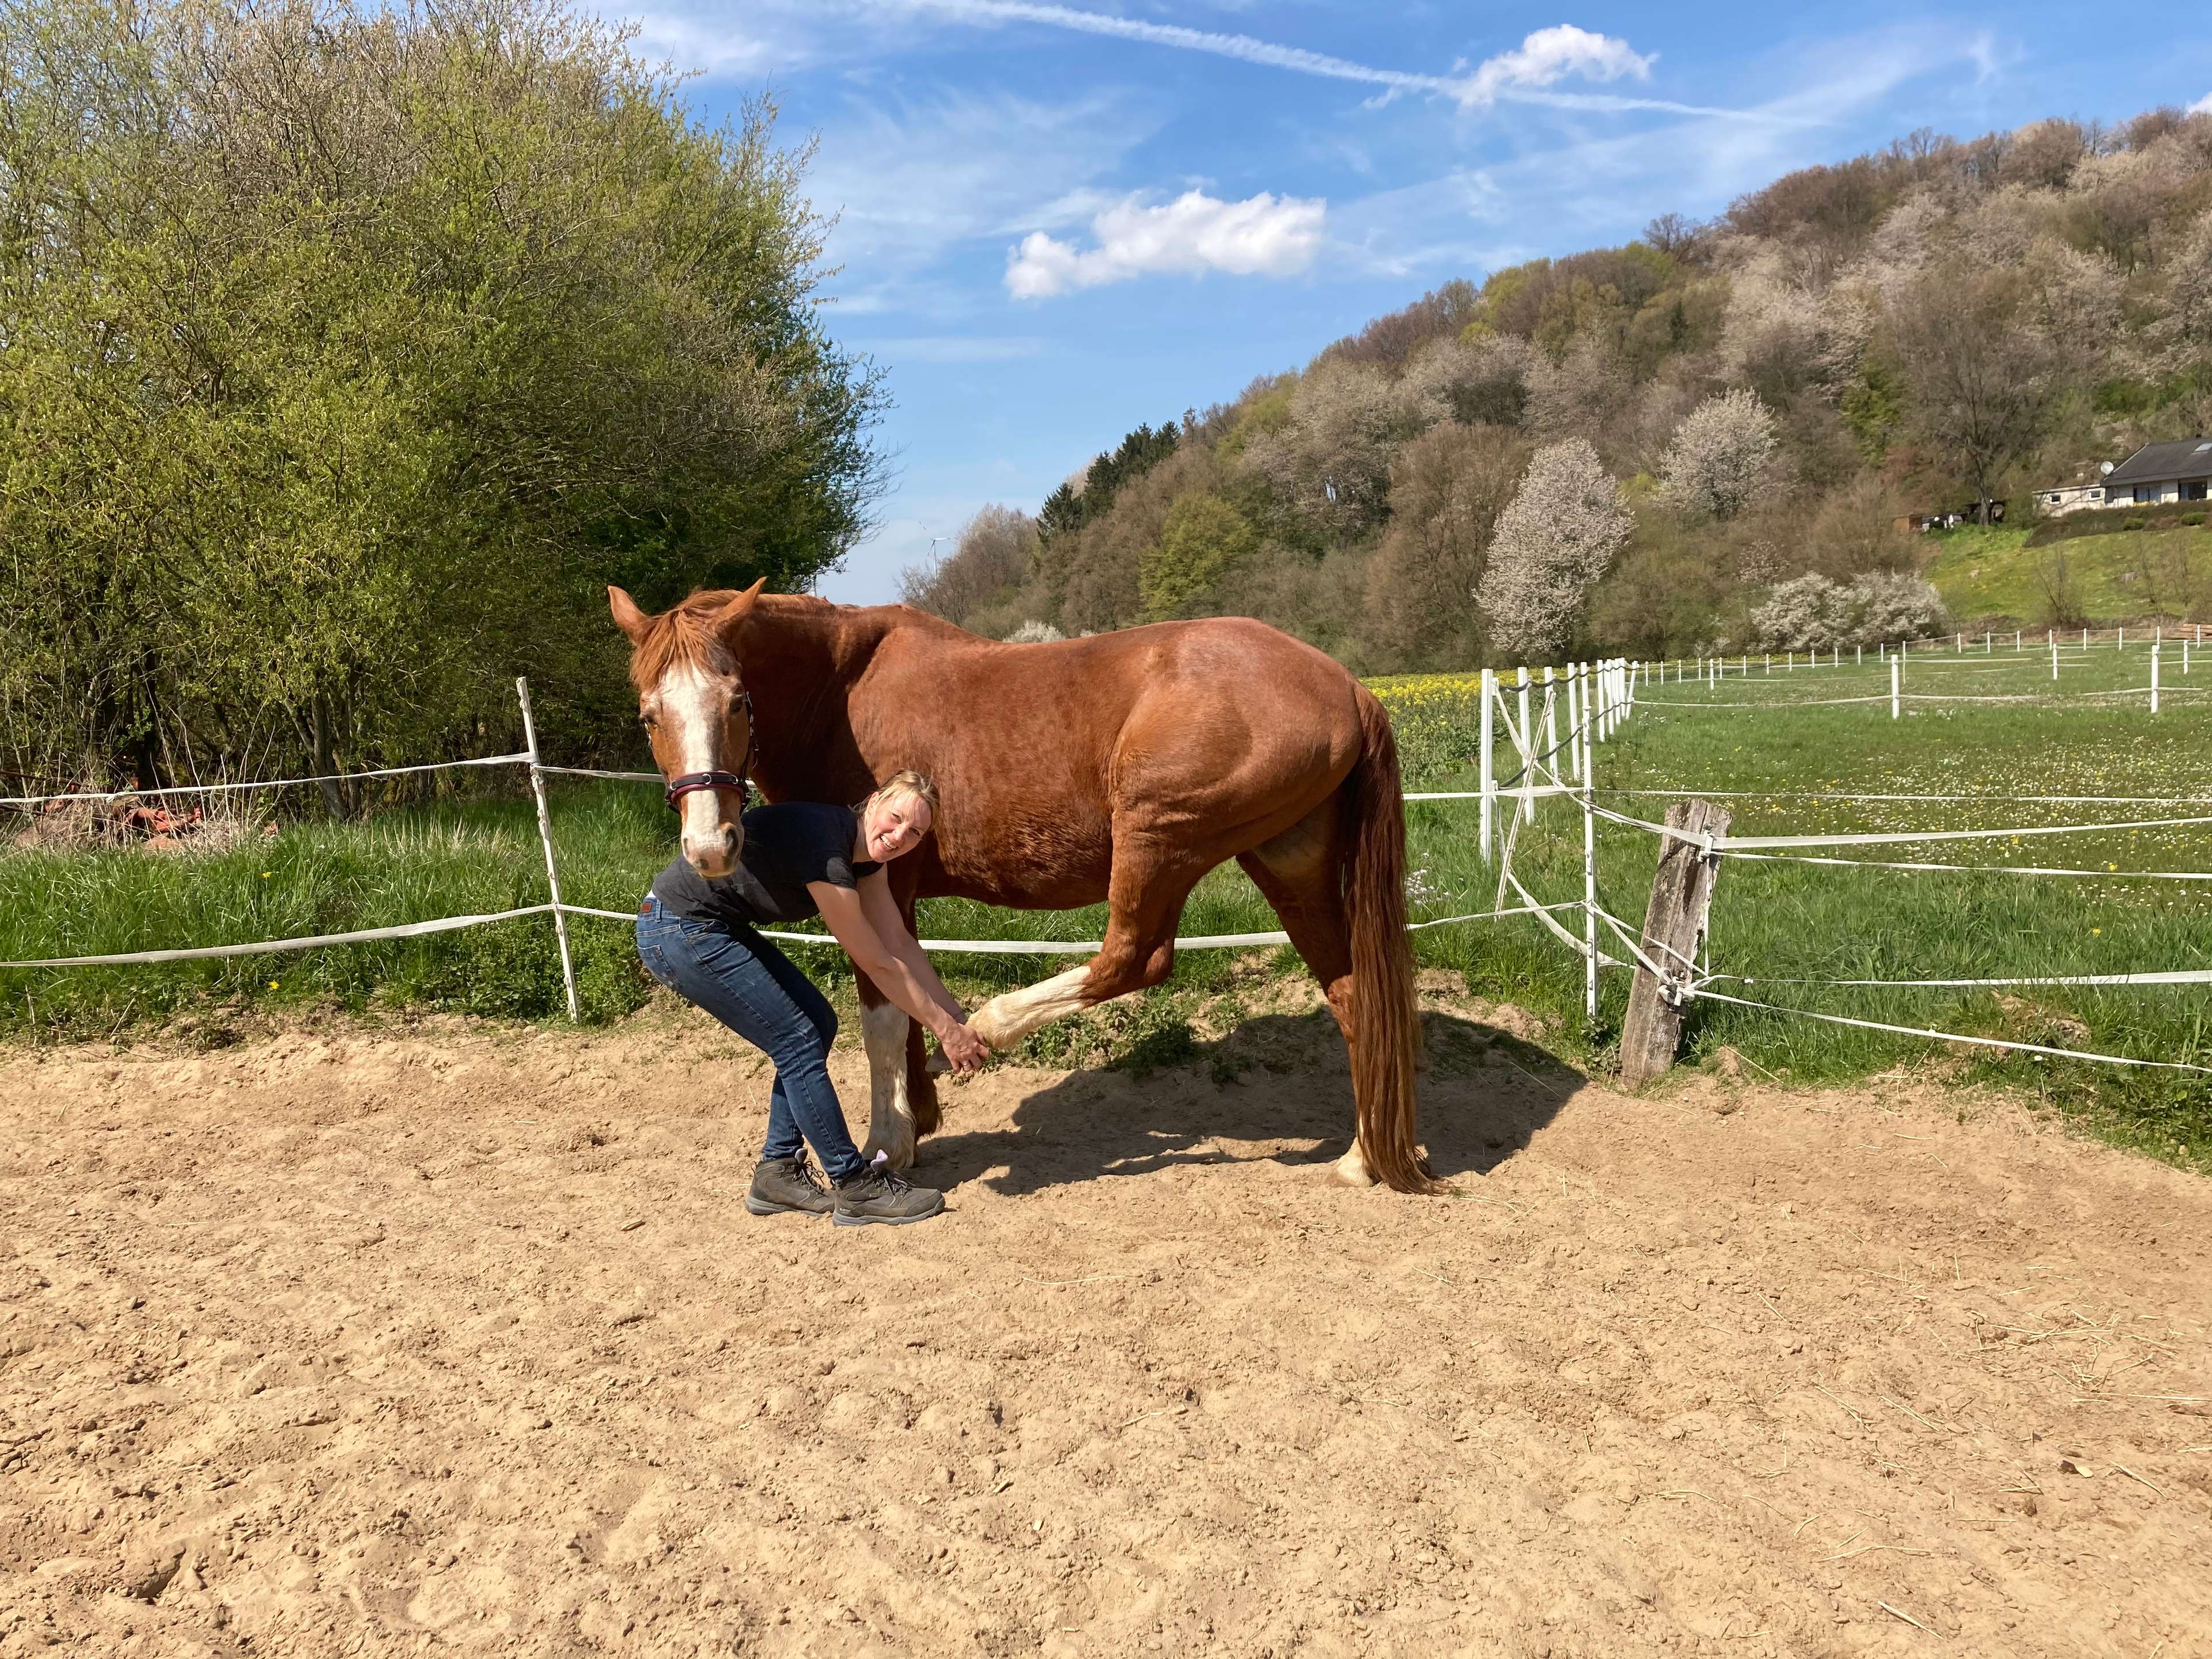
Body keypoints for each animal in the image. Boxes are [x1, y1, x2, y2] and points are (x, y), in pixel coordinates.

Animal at [610, 580, 1443, 1195]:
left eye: (738, 701)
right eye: (649, 714)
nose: (711, 845)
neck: (842, 689)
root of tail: (1349, 687)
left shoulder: (880, 877)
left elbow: (882, 1019)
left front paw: (890, 1139)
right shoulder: (898, 898)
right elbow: (905, 999)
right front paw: (920, 1119)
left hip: (1159, 839)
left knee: (1135, 959)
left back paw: (991, 1025)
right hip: (1288, 865)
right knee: (1354, 995)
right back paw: (1363, 1158)